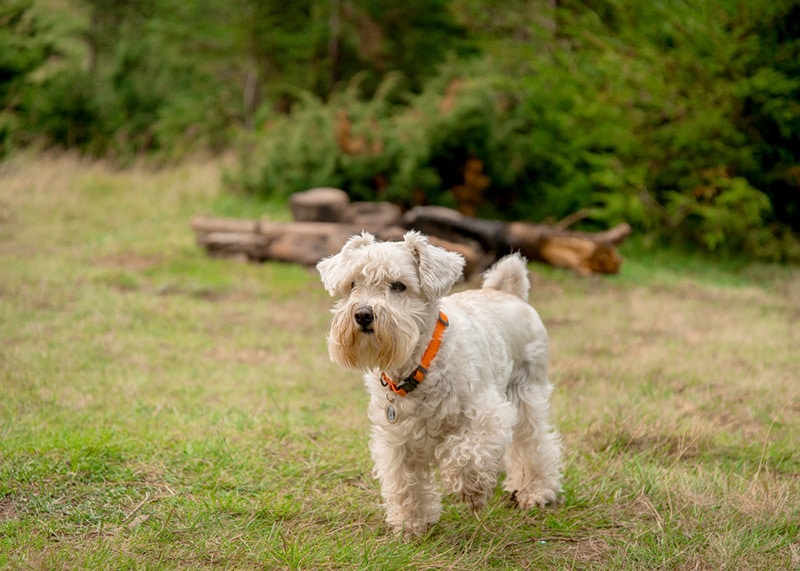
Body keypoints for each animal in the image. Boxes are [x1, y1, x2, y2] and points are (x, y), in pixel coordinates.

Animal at [318, 232, 564, 536]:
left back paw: (535, 490)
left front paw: (471, 488)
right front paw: (411, 523)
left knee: (537, 444)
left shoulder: (487, 413)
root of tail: (509, 292)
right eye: (352, 284)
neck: (418, 364)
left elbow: (466, 454)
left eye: (398, 285)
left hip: (528, 394)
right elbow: (404, 482)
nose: (363, 314)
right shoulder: (395, 437)